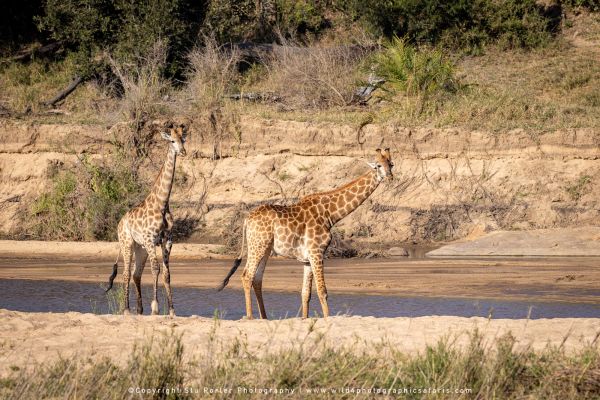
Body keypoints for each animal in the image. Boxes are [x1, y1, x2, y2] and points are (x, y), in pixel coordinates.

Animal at [104, 122, 186, 316]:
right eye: (172, 141)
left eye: (183, 139)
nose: (183, 152)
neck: (162, 204)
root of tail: (120, 223)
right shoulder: (150, 239)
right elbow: (156, 269)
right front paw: (155, 307)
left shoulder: (167, 240)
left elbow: (166, 273)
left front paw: (171, 310)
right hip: (126, 243)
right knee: (126, 273)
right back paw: (127, 309)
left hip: (139, 248)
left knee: (136, 273)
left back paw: (139, 309)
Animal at [218, 147, 396, 318]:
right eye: (378, 166)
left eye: (391, 164)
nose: (390, 178)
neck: (330, 214)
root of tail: (247, 219)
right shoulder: (317, 252)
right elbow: (323, 292)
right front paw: (328, 319)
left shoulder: (307, 259)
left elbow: (305, 294)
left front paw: (305, 318)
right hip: (258, 245)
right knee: (247, 276)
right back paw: (250, 317)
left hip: (265, 248)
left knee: (257, 279)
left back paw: (264, 317)